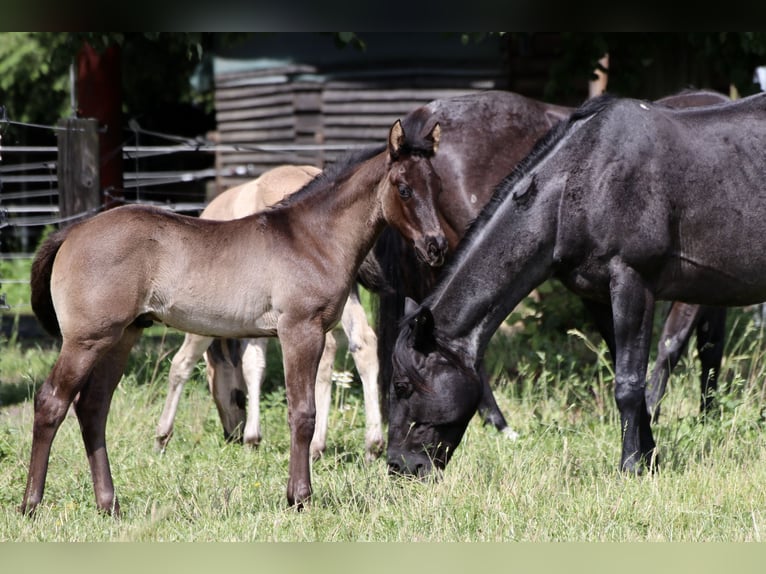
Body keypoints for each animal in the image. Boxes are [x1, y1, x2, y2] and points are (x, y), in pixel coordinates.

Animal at [155, 164, 384, 462]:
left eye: (235, 397)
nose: (231, 434)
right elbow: (254, 361)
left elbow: (185, 364)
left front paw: (164, 435)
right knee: (363, 342)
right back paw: (372, 444)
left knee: (328, 352)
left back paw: (317, 444)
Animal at [388, 91, 766, 476]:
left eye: (402, 386)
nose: (399, 466)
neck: (581, 182)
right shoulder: (599, 297)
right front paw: (649, 457)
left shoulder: (633, 282)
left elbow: (630, 383)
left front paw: (631, 466)